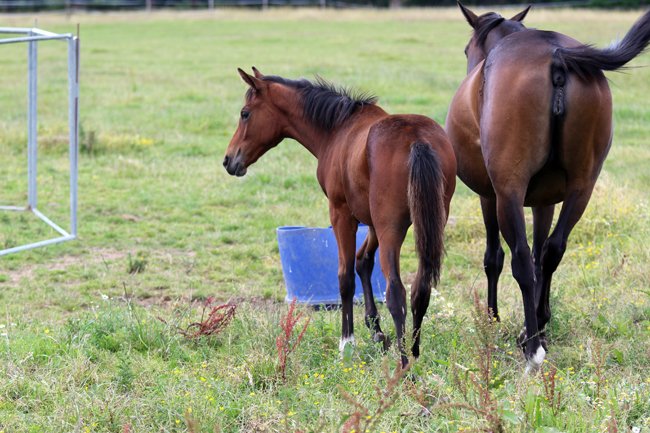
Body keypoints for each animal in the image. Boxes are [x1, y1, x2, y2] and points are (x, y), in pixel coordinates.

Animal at [224, 68, 456, 367]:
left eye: (245, 113)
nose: (229, 160)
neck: (338, 129)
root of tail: (417, 140)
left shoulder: (341, 214)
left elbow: (345, 277)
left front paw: (347, 343)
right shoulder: (370, 221)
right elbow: (362, 262)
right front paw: (376, 331)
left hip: (391, 229)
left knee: (396, 291)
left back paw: (405, 365)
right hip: (427, 225)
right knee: (420, 289)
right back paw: (413, 352)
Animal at [446, 3, 650, 371]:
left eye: (468, 50)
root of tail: (556, 54)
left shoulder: (489, 196)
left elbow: (495, 258)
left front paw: (493, 320)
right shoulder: (545, 201)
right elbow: (543, 254)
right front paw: (539, 323)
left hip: (509, 193)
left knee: (522, 260)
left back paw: (532, 349)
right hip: (582, 189)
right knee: (552, 251)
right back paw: (536, 332)